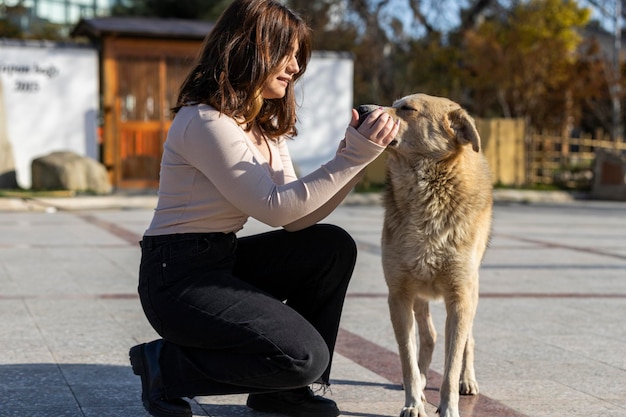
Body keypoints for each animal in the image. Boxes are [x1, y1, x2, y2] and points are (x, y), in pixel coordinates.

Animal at [358, 94, 490, 416]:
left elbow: (452, 364)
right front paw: (414, 402)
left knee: (468, 340)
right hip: (419, 292)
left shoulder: (460, 298)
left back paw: (468, 380)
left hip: (471, 291)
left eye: (407, 108)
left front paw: (449, 407)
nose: (363, 109)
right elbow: (407, 357)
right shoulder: (399, 295)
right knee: (429, 336)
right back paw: (421, 377)